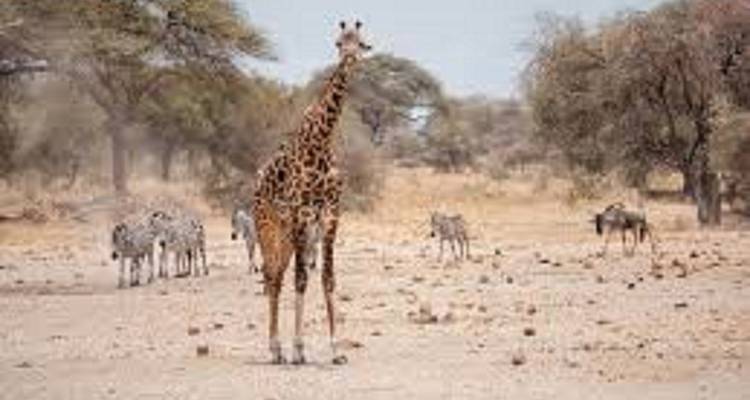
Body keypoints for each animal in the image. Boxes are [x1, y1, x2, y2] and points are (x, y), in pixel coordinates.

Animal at [252, 20, 371, 365]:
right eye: (339, 42)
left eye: (360, 42)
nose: (349, 59)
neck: (321, 141)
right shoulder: (301, 214)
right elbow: (301, 280)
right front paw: (298, 349)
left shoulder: (330, 215)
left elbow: (328, 277)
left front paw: (335, 350)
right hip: (269, 227)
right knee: (273, 276)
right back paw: (276, 349)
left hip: (290, 236)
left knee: (277, 275)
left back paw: (279, 349)